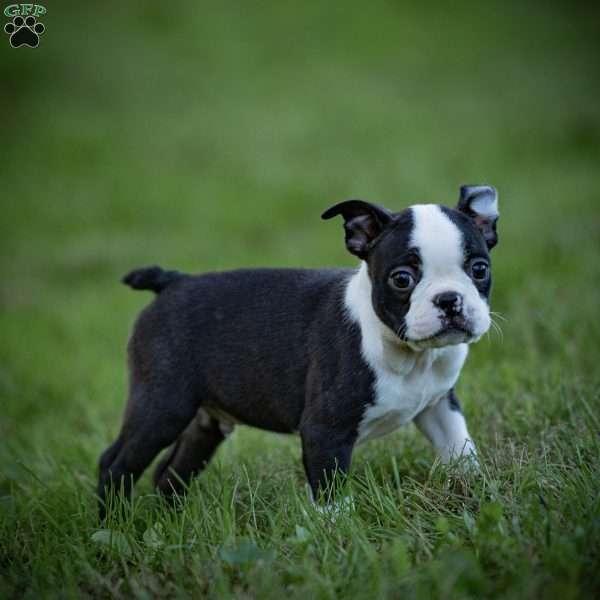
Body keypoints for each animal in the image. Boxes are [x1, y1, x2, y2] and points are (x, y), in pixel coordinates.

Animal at [98, 184, 500, 516]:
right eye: (402, 279)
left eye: (480, 269)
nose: (449, 300)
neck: (410, 354)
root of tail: (172, 282)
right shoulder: (325, 431)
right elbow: (332, 498)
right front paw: (341, 538)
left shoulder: (439, 404)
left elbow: (461, 448)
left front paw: (477, 492)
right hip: (163, 404)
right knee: (115, 464)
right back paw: (114, 527)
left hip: (205, 422)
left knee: (170, 471)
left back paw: (173, 523)